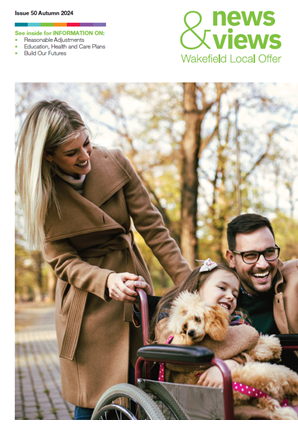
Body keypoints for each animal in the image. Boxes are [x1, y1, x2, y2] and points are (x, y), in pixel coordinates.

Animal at [164, 292, 298, 422]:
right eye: (185, 327)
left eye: (197, 318)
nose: (190, 333)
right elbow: (258, 345)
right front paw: (273, 349)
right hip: (276, 372)